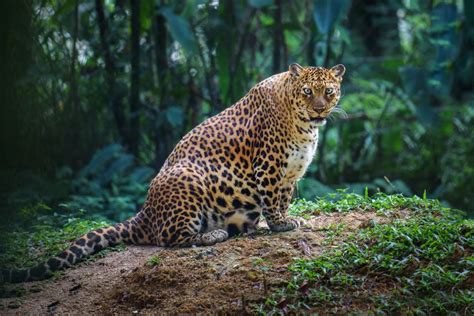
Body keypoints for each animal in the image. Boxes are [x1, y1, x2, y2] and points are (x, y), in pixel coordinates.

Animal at [1, 63, 346, 282]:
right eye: (306, 91)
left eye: (328, 91)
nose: (318, 108)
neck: (305, 126)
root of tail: (144, 212)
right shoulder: (269, 166)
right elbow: (273, 201)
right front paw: (280, 224)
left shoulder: (291, 173)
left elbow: (283, 199)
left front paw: (286, 219)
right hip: (187, 181)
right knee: (168, 238)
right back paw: (213, 235)